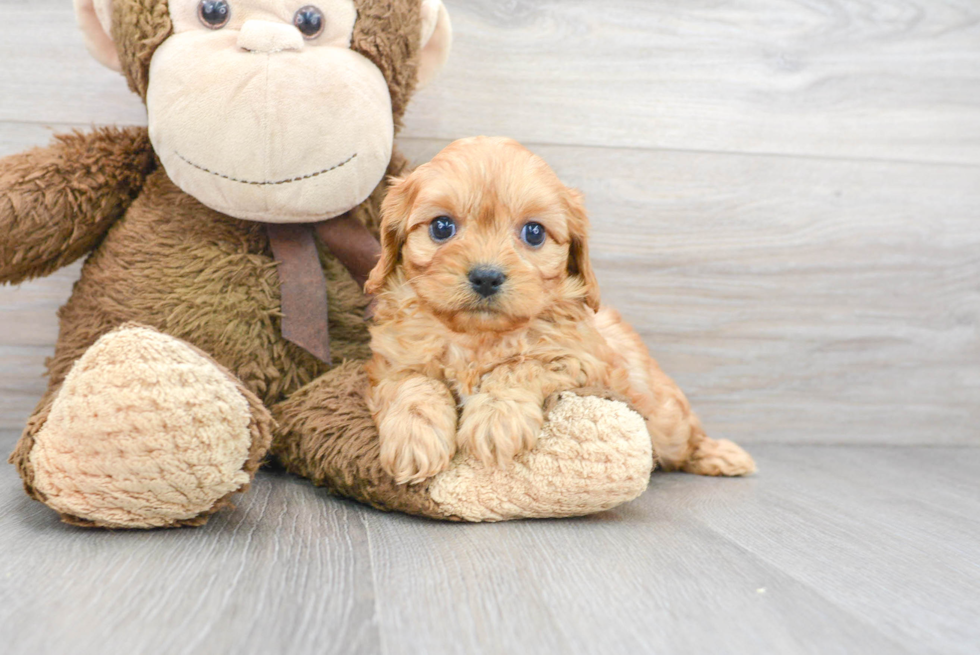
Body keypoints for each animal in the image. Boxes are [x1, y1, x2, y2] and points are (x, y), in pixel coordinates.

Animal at [364, 137, 756, 486]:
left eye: (534, 233)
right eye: (441, 227)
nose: (487, 276)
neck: (478, 338)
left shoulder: (582, 362)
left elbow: (518, 367)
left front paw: (496, 417)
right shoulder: (390, 362)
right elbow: (415, 383)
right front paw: (415, 437)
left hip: (666, 417)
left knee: (687, 439)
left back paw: (723, 456)